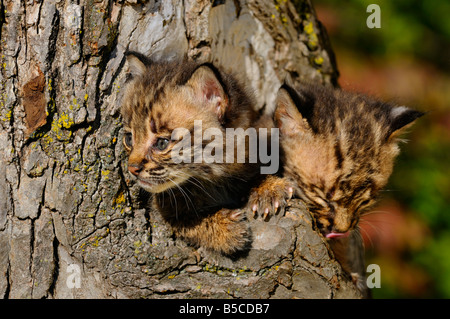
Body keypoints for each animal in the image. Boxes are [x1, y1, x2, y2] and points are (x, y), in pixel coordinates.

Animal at [120, 53, 268, 256]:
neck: (216, 176)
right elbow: (186, 221)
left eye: (162, 143)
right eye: (129, 139)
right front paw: (225, 229)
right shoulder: (163, 208)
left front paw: (268, 188)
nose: (132, 169)